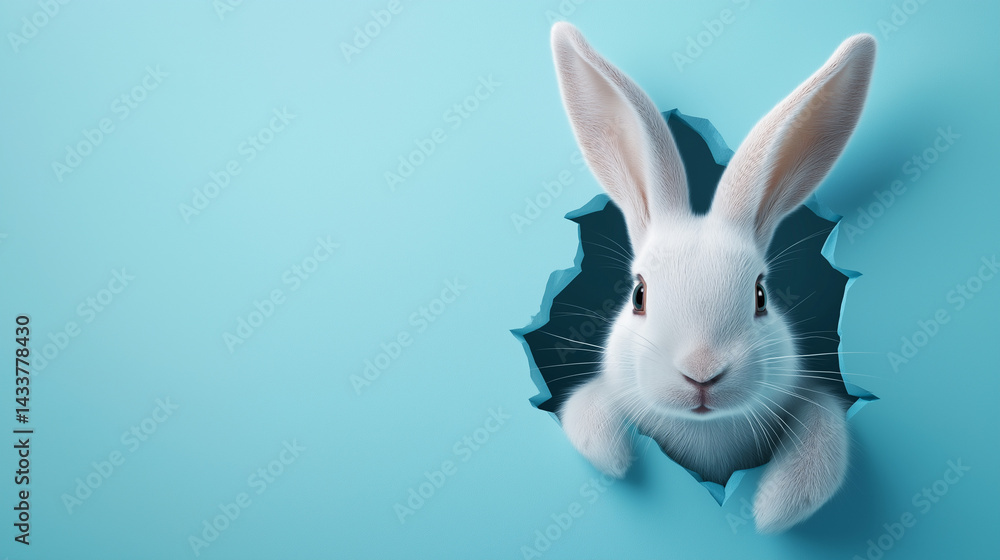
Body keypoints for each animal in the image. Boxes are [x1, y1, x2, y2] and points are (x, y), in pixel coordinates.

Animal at [550, 22, 875, 533]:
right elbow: (587, 407)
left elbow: (822, 431)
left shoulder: (812, 403)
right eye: (638, 294)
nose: (701, 372)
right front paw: (614, 458)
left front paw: (777, 508)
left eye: (760, 295)